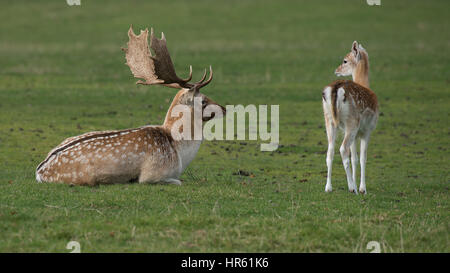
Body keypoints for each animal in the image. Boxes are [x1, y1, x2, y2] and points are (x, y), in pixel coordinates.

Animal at [35, 26, 227, 185]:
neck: (179, 153)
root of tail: (40, 171)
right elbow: (177, 181)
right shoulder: (153, 174)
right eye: (203, 100)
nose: (224, 109)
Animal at [322, 40, 378, 193]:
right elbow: (363, 158)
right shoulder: (367, 130)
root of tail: (336, 88)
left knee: (330, 151)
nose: (337, 70)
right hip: (352, 122)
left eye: (345, 60)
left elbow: (355, 158)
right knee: (342, 149)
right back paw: (352, 188)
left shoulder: (356, 133)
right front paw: (362, 188)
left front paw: (356, 184)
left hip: (329, 120)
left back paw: (328, 187)